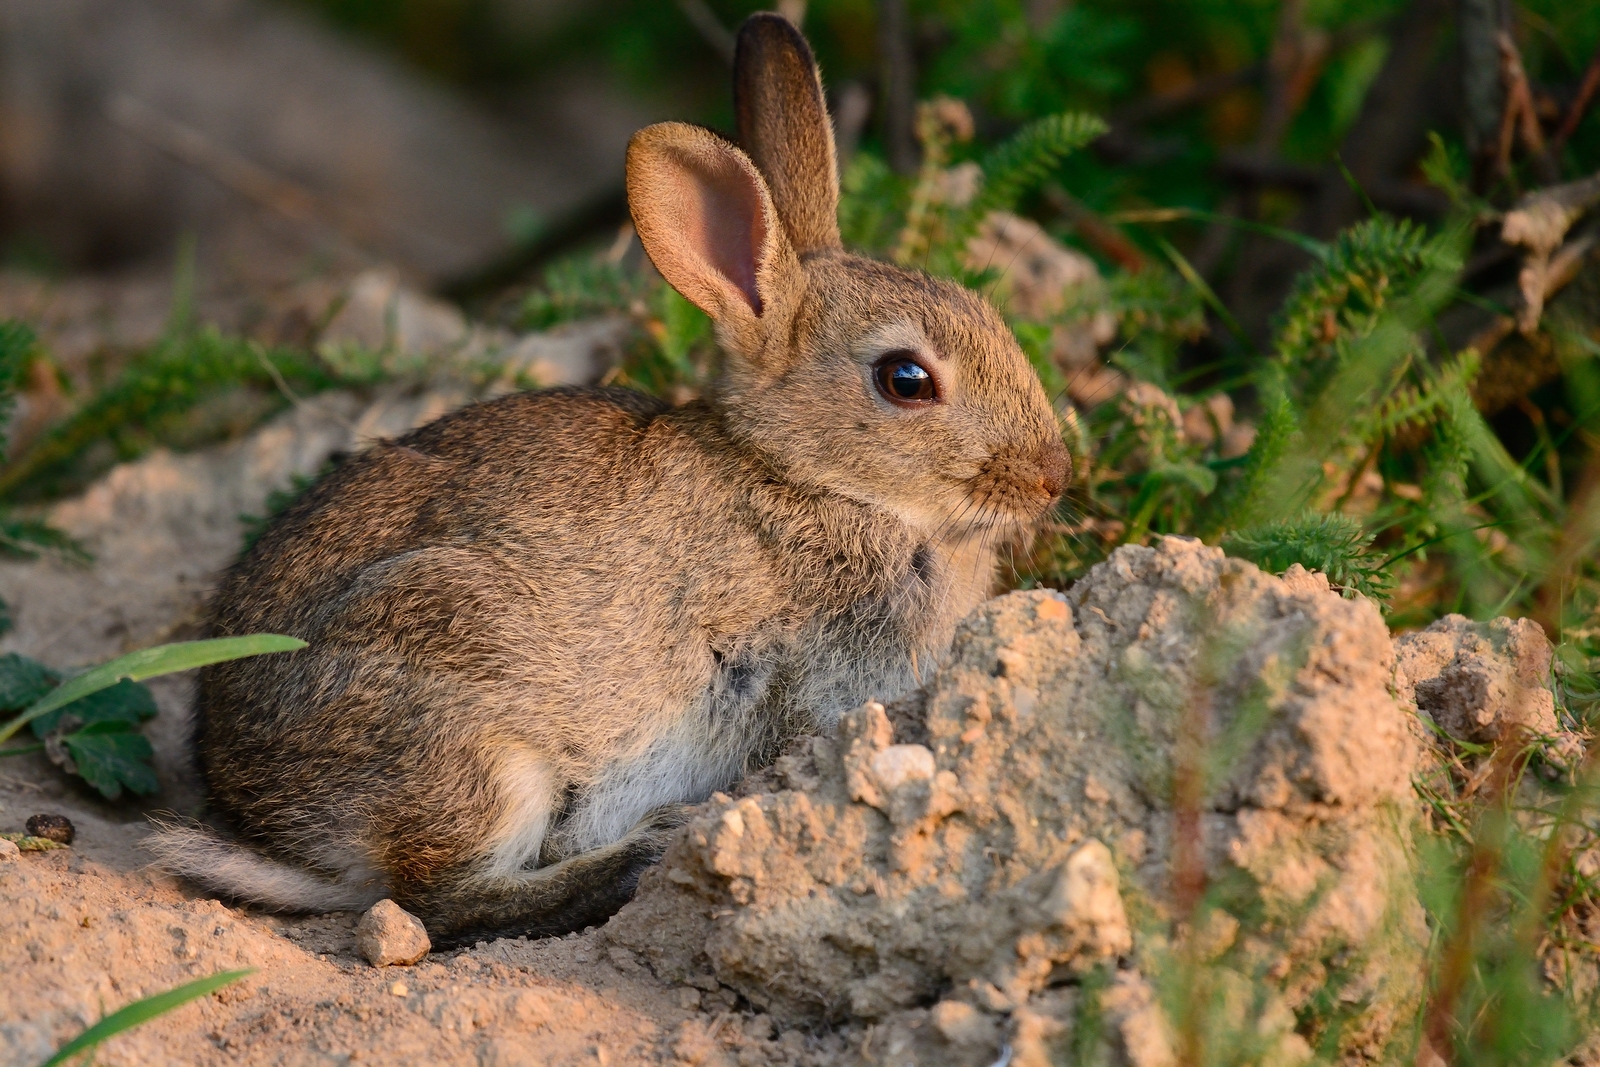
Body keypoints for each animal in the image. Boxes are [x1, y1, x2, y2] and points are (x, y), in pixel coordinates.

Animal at [147, 12, 1075, 947]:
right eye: (905, 379)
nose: (1052, 475)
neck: (806, 479)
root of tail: (284, 829)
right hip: (475, 735)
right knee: (439, 895)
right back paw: (638, 853)